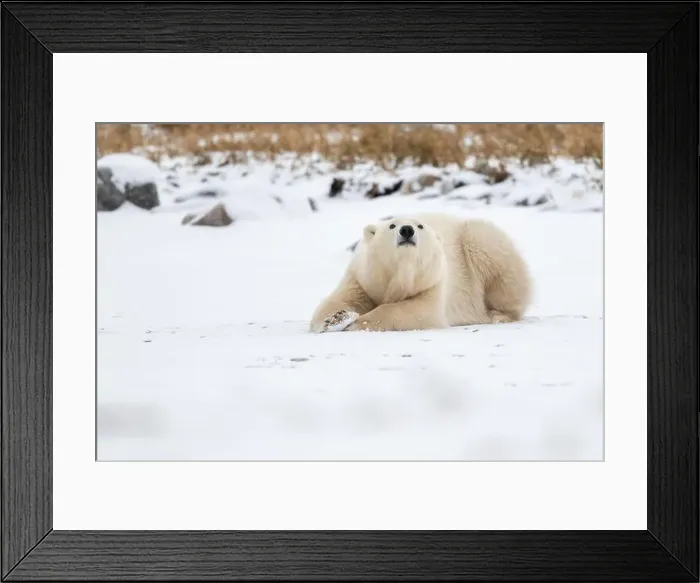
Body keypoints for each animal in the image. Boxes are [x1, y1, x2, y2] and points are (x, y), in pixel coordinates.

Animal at [309, 212, 532, 333]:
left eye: (420, 226)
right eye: (392, 225)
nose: (407, 230)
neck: (401, 274)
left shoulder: (433, 282)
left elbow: (417, 310)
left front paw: (357, 322)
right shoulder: (362, 279)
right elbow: (337, 301)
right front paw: (334, 320)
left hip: (479, 242)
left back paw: (498, 315)